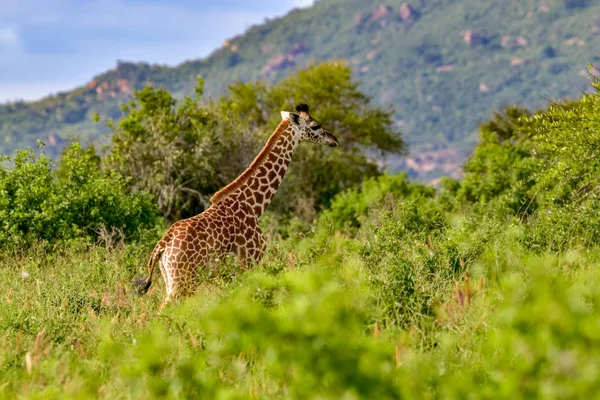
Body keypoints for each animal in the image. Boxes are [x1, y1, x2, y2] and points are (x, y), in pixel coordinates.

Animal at [138, 104, 340, 308]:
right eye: (315, 126)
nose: (334, 139)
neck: (254, 205)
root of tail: (162, 246)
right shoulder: (248, 264)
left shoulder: (229, 275)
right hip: (184, 280)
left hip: (170, 279)